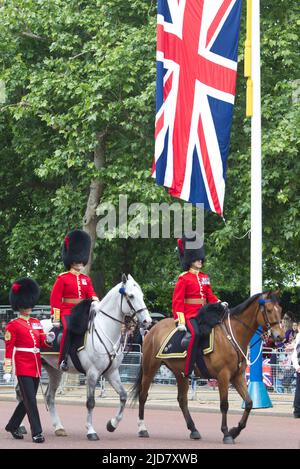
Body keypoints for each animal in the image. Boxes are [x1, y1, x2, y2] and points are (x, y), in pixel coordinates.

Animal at [40, 272, 152, 440]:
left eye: (142, 295)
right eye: (131, 296)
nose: (147, 321)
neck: (106, 329)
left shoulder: (112, 372)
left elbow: (123, 396)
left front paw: (112, 424)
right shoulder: (92, 373)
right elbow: (90, 402)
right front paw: (91, 431)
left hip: (54, 371)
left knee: (49, 397)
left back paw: (58, 427)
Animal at [131, 292, 284, 442]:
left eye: (280, 310)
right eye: (269, 310)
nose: (280, 337)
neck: (232, 335)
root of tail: (152, 329)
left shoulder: (237, 376)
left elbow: (249, 403)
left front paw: (235, 431)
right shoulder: (223, 376)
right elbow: (224, 405)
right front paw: (226, 433)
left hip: (180, 373)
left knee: (182, 400)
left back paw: (193, 430)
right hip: (150, 368)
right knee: (143, 396)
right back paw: (142, 428)